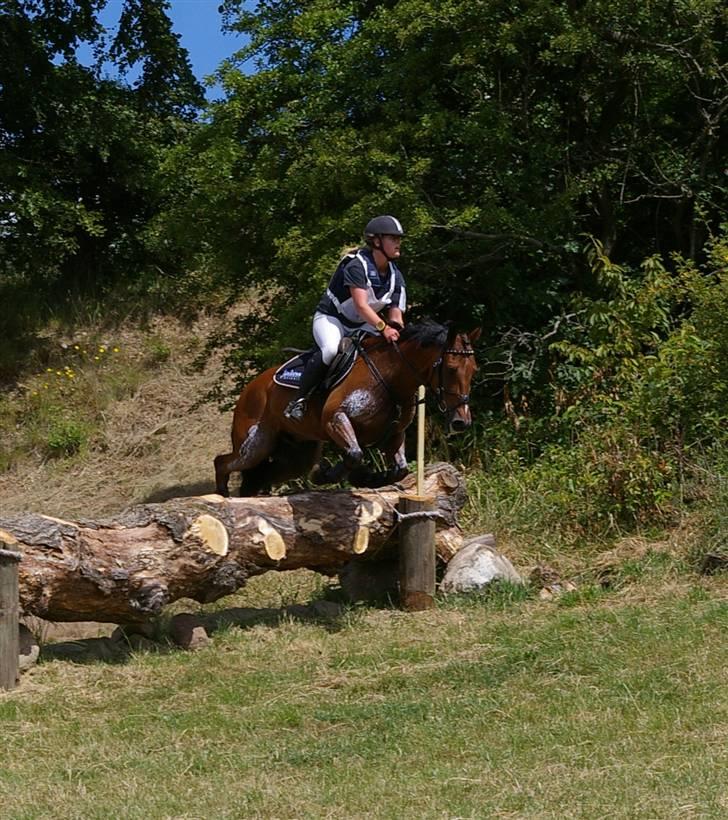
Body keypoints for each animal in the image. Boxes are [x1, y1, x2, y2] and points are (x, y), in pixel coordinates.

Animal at [213, 322, 480, 496]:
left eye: (474, 369)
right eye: (452, 369)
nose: (461, 422)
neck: (390, 377)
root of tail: (251, 387)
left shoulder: (394, 434)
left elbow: (400, 469)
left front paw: (371, 478)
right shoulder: (336, 419)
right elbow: (354, 453)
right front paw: (330, 475)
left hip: (297, 454)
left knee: (265, 473)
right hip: (255, 444)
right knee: (223, 462)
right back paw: (221, 497)